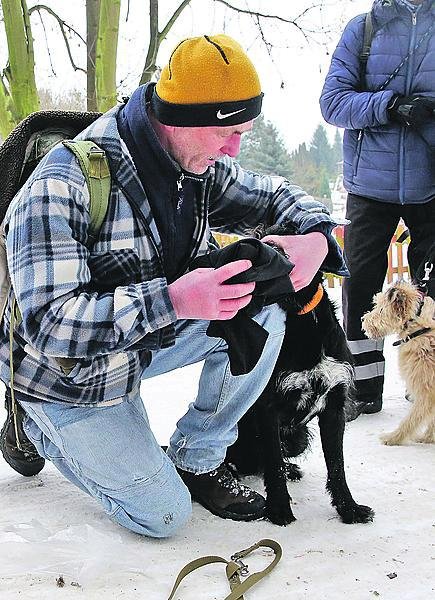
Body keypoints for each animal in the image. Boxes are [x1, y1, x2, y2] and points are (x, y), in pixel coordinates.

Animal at [225, 225, 374, 524]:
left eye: (278, 241)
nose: (245, 251)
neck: (302, 316)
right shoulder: (268, 408)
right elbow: (272, 462)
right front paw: (279, 508)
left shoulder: (334, 407)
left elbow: (337, 465)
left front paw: (348, 508)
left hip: (299, 437)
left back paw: (290, 469)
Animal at [362, 282, 435, 446]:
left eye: (381, 309)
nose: (363, 320)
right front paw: (428, 438)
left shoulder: (426, 393)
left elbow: (410, 420)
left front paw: (393, 438)